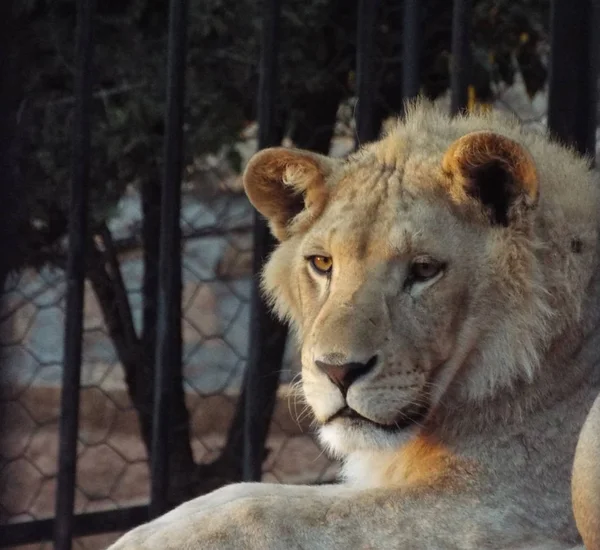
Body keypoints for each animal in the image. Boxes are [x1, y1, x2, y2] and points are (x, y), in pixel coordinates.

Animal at [108, 101, 600, 548]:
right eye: (322, 263)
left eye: (424, 270)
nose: (337, 371)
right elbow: (238, 493)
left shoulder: (502, 506)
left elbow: (266, 512)